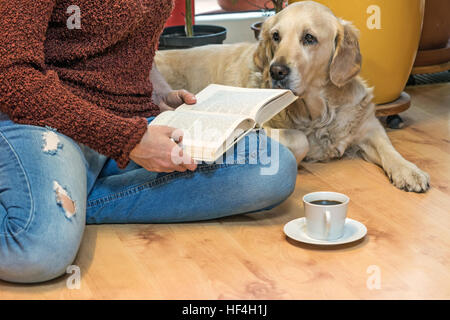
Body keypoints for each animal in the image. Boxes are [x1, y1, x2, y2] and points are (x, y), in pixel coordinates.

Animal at [156, 0, 430, 192]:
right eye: (276, 36)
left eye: (309, 38)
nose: (276, 70)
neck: (317, 113)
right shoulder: (268, 126)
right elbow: (300, 141)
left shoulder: (368, 127)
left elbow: (389, 148)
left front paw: (410, 171)